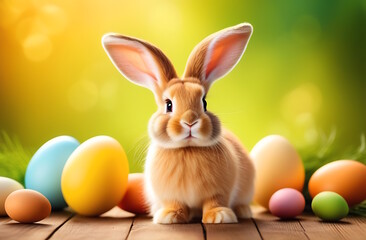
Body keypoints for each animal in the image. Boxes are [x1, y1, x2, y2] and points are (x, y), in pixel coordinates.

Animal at [102, 23, 254, 224]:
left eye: (204, 103)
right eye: (168, 105)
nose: (190, 121)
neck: (187, 150)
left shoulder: (219, 191)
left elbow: (214, 201)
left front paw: (220, 216)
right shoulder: (170, 195)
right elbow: (175, 204)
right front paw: (170, 217)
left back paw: (243, 211)